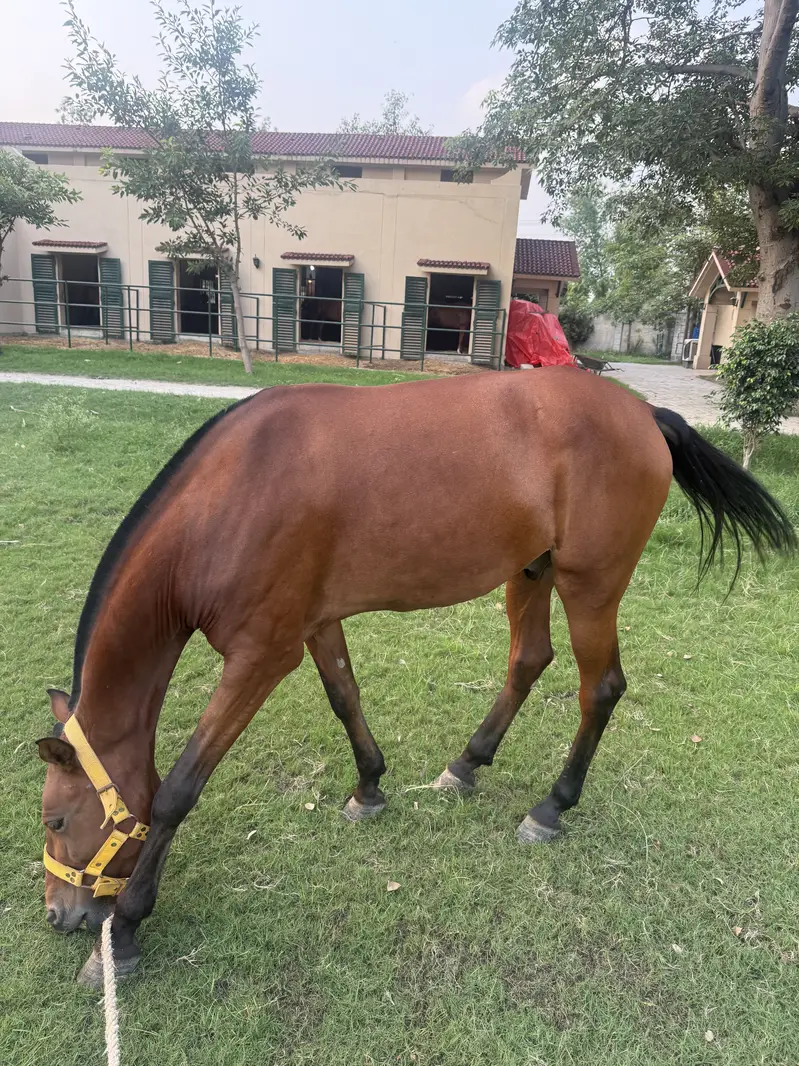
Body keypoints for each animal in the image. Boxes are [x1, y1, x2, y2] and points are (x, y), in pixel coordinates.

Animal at [35, 368, 794, 986]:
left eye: (57, 818)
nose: (59, 916)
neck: (230, 497)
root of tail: (644, 414)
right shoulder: (314, 625)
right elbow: (344, 696)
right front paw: (369, 784)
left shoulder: (261, 655)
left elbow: (178, 791)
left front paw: (125, 932)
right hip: (533, 570)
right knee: (527, 661)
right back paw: (467, 764)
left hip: (591, 585)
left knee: (599, 689)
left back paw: (552, 805)